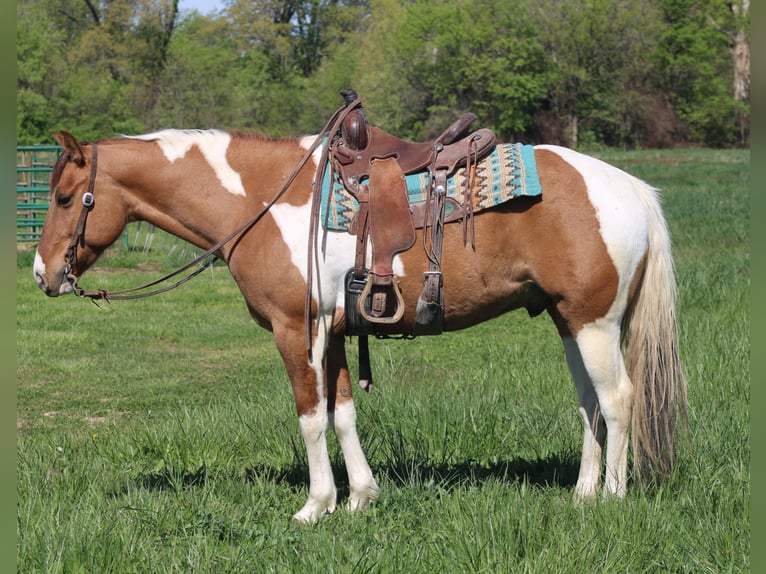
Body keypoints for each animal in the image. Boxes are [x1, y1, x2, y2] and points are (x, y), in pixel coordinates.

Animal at [33, 115, 688, 524]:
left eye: (65, 198)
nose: (43, 275)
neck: (262, 201)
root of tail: (631, 188)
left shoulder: (296, 331)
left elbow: (310, 418)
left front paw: (315, 506)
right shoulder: (335, 333)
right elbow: (343, 413)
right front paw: (360, 499)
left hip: (594, 322)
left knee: (618, 399)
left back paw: (612, 498)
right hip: (569, 321)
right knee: (589, 402)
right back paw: (581, 494)